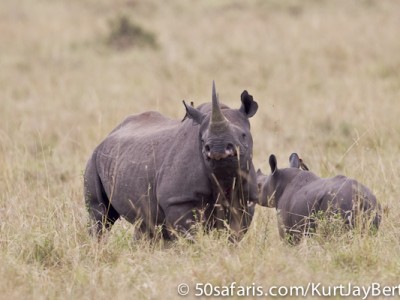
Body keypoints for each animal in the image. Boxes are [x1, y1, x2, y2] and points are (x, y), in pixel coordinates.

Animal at [85, 82, 260, 241]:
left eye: (243, 135)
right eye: (202, 140)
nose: (217, 148)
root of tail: (108, 134)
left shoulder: (246, 200)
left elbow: (235, 232)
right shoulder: (178, 201)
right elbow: (190, 235)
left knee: (144, 222)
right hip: (94, 157)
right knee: (100, 214)